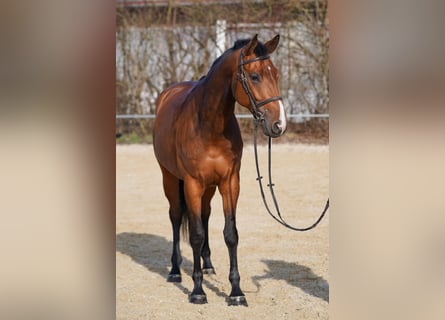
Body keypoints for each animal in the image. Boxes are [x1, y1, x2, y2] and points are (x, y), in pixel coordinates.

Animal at [153, 33, 284, 306]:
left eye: (275, 74)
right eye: (254, 76)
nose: (278, 124)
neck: (208, 125)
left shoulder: (229, 182)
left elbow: (230, 233)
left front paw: (236, 292)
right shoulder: (192, 183)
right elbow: (195, 234)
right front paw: (198, 291)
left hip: (210, 188)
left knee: (205, 215)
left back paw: (208, 265)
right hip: (169, 178)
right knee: (175, 216)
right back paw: (175, 270)